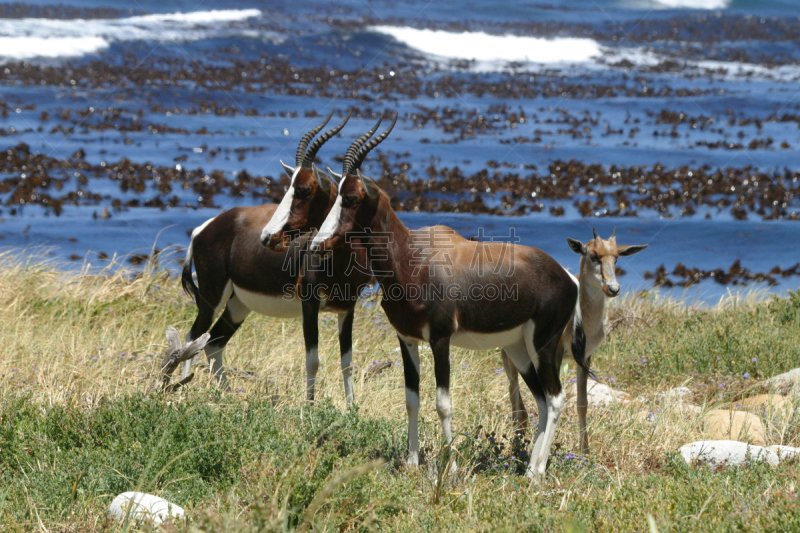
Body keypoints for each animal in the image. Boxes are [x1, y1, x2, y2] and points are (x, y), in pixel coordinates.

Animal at [178, 109, 372, 404]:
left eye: (304, 189)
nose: (268, 237)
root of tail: (205, 228)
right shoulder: (309, 305)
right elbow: (313, 359)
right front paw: (310, 406)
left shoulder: (347, 308)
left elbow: (346, 362)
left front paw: (351, 408)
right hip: (212, 297)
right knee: (194, 336)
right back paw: (182, 388)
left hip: (238, 304)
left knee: (214, 343)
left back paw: (227, 395)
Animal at [310, 116, 592, 478]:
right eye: (337, 194)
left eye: (352, 197)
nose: (317, 243)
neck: (415, 258)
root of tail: (568, 277)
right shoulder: (407, 339)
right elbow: (411, 399)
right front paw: (412, 461)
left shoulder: (440, 339)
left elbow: (443, 403)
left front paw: (452, 467)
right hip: (519, 348)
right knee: (543, 400)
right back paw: (530, 467)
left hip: (543, 344)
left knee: (556, 399)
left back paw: (535, 473)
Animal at [504, 224, 648, 454]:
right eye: (593, 255)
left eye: (617, 258)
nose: (613, 289)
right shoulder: (555, 356)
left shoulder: (585, 358)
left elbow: (582, 402)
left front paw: (585, 451)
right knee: (513, 391)